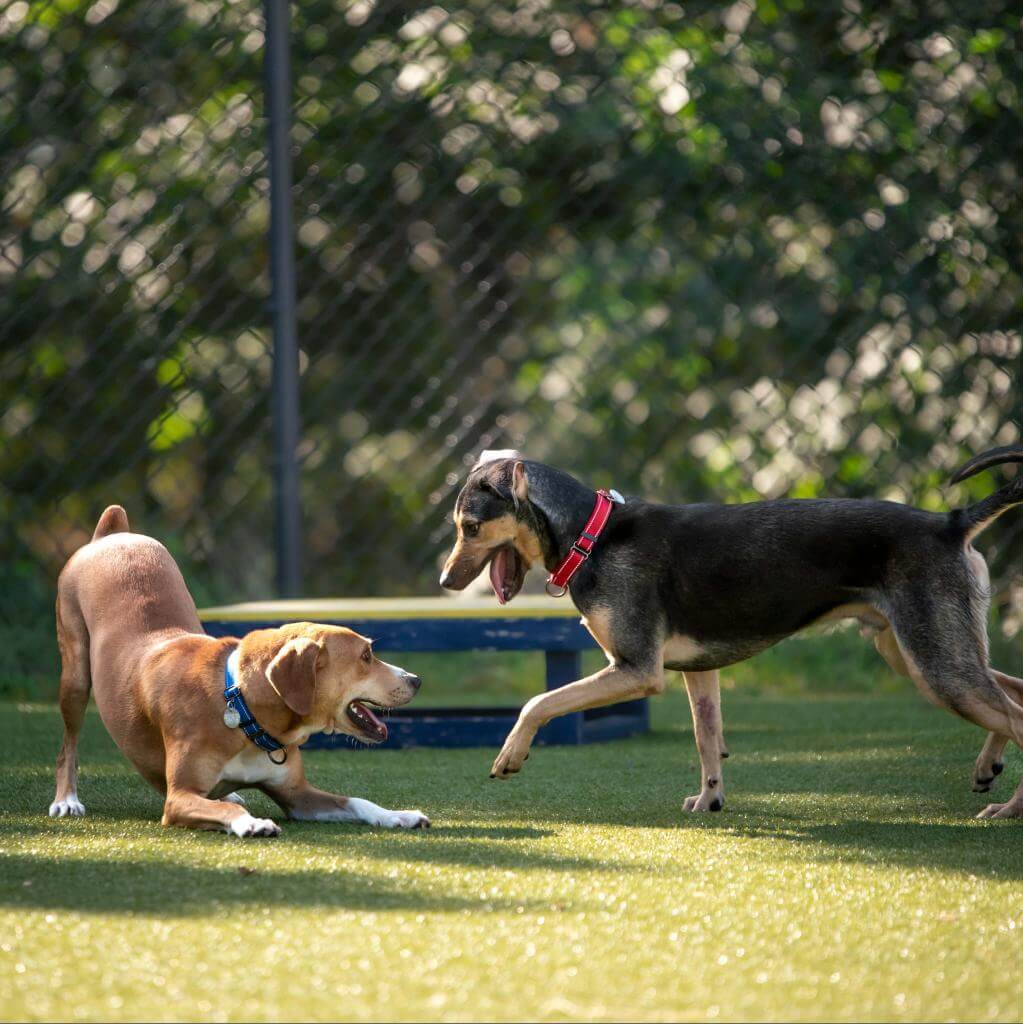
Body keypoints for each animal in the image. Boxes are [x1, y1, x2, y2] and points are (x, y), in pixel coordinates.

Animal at [50, 503, 428, 831]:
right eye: (366, 655)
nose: (415, 679)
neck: (242, 709)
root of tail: (112, 535)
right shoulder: (179, 797)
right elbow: (216, 808)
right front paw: (253, 824)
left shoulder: (298, 796)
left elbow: (357, 800)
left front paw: (399, 815)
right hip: (75, 674)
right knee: (68, 743)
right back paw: (67, 800)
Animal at [440, 444, 1023, 819]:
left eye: (471, 527)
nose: (445, 582)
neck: (594, 535)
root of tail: (950, 522)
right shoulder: (698, 672)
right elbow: (707, 738)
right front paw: (710, 800)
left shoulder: (635, 670)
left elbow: (538, 702)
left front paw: (510, 756)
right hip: (920, 653)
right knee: (1012, 697)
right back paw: (987, 766)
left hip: (936, 663)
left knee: (1015, 716)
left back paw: (1008, 807)